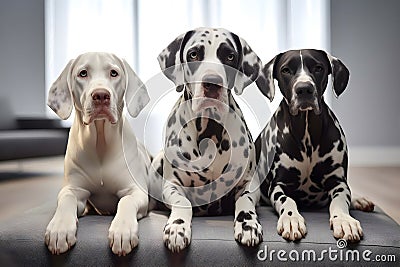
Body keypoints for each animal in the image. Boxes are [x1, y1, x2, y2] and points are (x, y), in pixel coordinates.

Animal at [45, 51, 151, 256]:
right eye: (83, 73)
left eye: (114, 73)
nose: (101, 95)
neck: (100, 143)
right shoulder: (73, 189)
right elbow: (67, 200)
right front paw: (59, 227)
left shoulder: (137, 191)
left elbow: (126, 201)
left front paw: (122, 229)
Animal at [152, 27, 268, 253]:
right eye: (193, 54)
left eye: (230, 56)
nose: (212, 83)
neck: (210, 131)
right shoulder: (173, 186)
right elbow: (183, 202)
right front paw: (177, 227)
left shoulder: (249, 184)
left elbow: (245, 201)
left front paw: (248, 224)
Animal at [255, 49, 374, 243]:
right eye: (286, 70)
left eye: (318, 68)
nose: (304, 89)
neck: (307, 132)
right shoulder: (279, 185)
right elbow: (287, 201)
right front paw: (291, 219)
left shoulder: (338, 182)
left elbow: (339, 201)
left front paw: (344, 220)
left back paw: (360, 200)